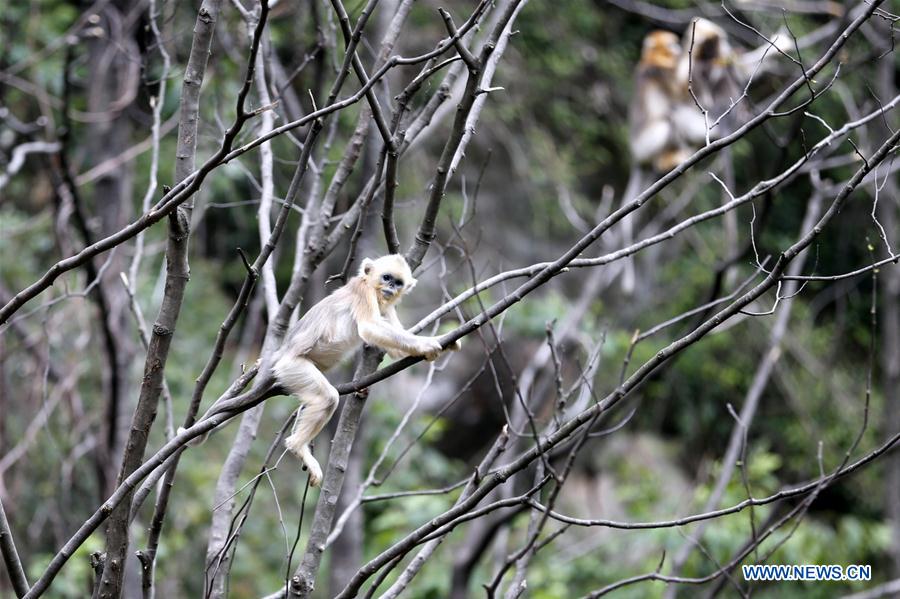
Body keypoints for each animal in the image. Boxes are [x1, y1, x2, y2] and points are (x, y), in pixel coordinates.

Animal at [272, 254, 458, 488]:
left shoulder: (387, 307)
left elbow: (396, 351)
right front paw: (428, 344)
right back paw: (298, 447)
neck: (375, 292)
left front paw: (446, 342)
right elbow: (370, 327)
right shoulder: (363, 291)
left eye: (398, 283)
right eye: (386, 277)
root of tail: (282, 352)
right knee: (328, 398)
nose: (390, 286)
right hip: (292, 367)